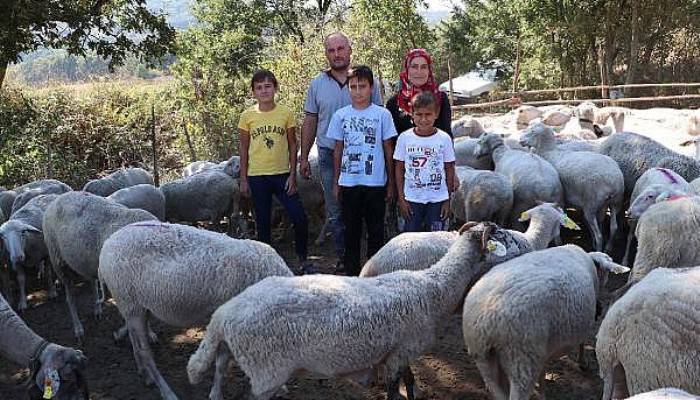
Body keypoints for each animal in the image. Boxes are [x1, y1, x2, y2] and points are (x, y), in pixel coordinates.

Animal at [98, 222, 292, 400]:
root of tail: (108, 243)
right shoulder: (224, 319)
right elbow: (221, 364)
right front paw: (216, 394)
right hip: (129, 302)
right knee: (145, 353)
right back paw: (167, 392)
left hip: (136, 305)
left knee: (136, 343)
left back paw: (145, 374)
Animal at [186, 223, 516, 400]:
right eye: (499, 234)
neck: (433, 286)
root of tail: (223, 315)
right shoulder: (400, 352)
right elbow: (393, 390)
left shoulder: (398, 351)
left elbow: (409, 379)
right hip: (267, 369)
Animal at [462, 244, 632, 400]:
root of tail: (486, 321)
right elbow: (582, 342)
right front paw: (582, 362)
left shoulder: (542, 350)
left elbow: (543, 371)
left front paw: (542, 390)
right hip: (521, 360)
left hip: (485, 360)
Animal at [520, 123, 624, 252]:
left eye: (533, 131)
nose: (520, 140)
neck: (549, 151)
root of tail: (614, 181)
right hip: (615, 202)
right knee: (613, 227)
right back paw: (608, 248)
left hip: (591, 204)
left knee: (599, 234)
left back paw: (598, 249)